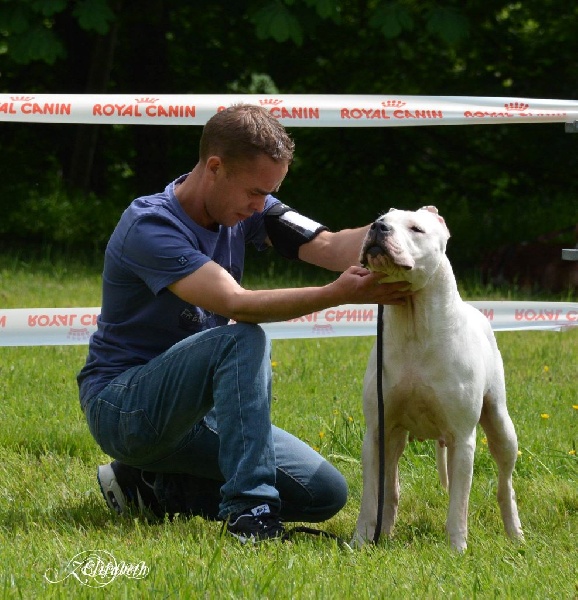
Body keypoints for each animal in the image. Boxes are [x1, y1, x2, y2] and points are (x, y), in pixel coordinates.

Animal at [352, 206, 520, 552]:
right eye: (379, 219)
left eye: (416, 228)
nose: (378, 227)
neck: (413, 321)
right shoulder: (377, 432)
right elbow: (371, 496)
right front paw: (360, 540)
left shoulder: (462, 437)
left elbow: (459, 501)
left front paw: (456, 548)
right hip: (395, 441)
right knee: (390, 489)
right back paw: (384, 532)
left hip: (500, 425)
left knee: (504, 483)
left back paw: (515, 533)